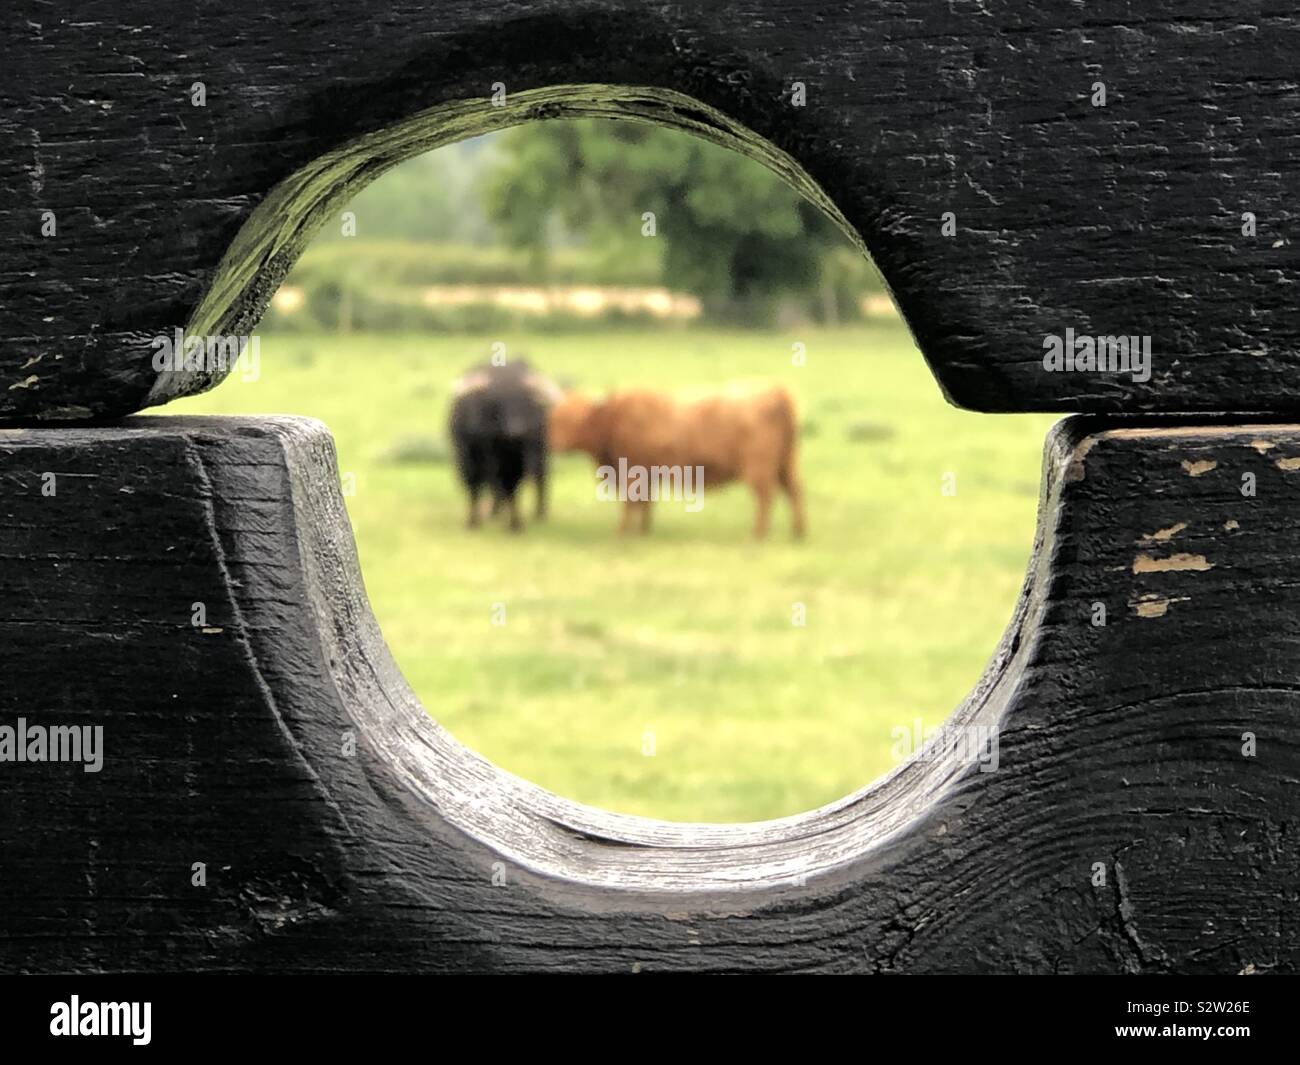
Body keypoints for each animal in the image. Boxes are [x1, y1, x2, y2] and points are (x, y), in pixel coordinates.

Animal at [449, 359, 560, 531]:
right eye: (497, 403)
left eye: (525, 402)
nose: (517, 431)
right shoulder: (468, 459)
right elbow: (473, 488)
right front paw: (473, 521)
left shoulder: (516, 464)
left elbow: (511, 488)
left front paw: (515, 524)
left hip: (540, 453)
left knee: (540, 478)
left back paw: (539, 513)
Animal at [548, 384, 806, 539]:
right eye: (555, 417)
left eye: (576, 419)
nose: (552, 444)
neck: (615, 418)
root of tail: (773, 391)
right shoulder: (646, 475)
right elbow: (646, 503)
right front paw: (643, 531)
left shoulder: (631, 473)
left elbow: (630, 504)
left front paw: (622, 532)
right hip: (785, 465)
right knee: (794, 492)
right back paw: (797, 533)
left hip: (758, 469)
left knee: (766, 498)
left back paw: (758, 534)